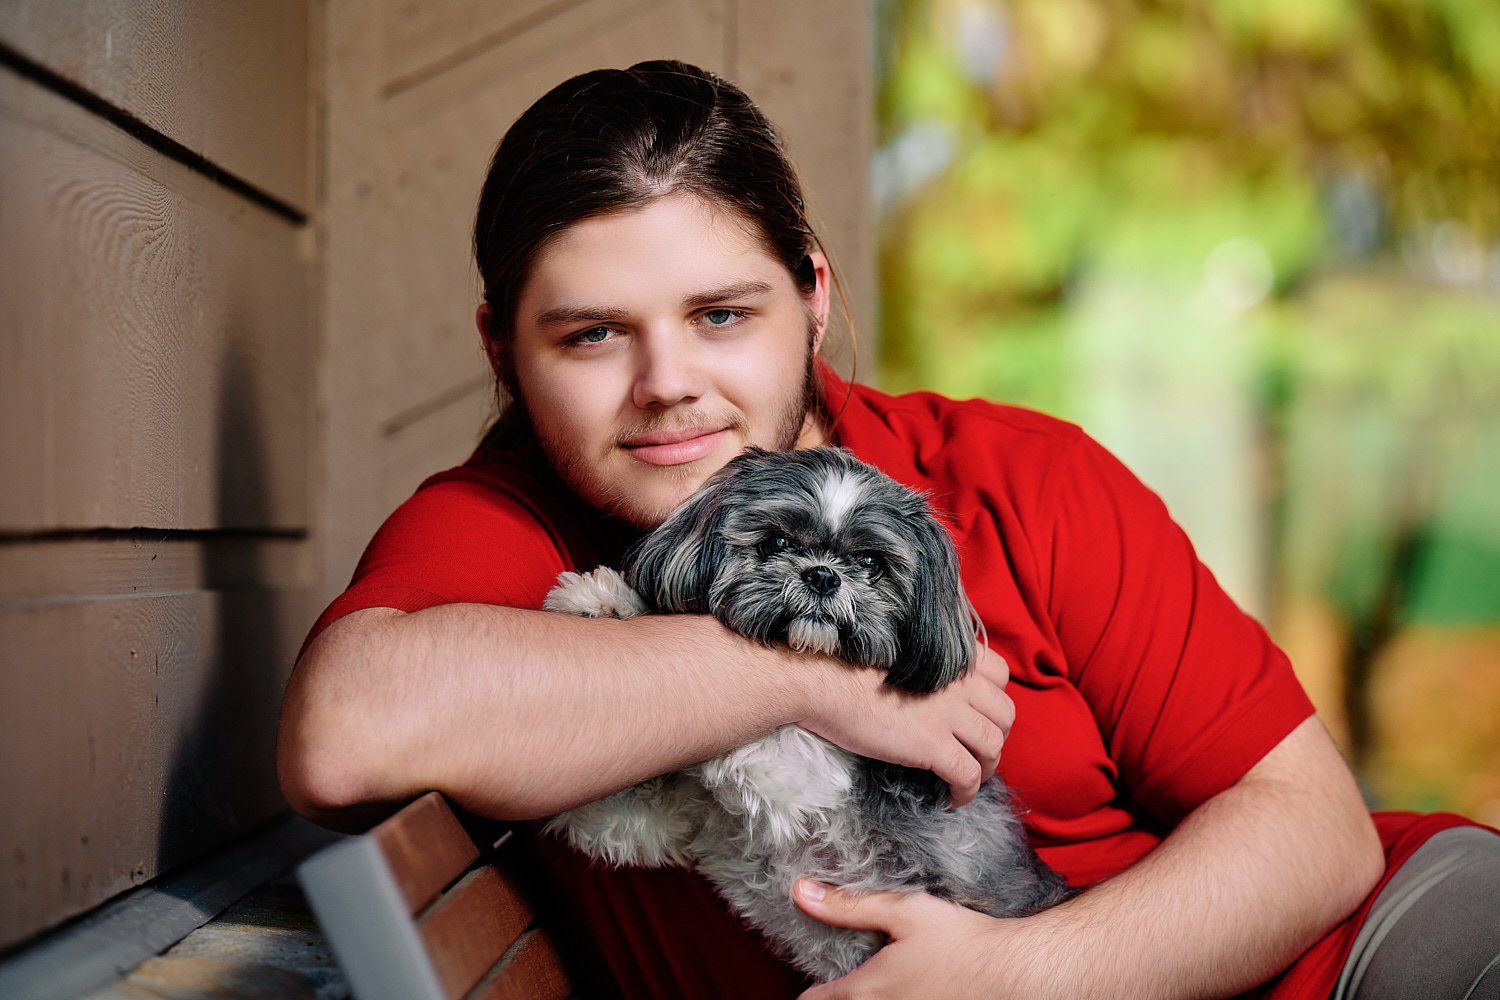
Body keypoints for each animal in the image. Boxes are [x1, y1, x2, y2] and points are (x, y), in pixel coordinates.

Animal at [546, 449, 1074, 983]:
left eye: (870, 562)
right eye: (776, 541)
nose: (822, 575)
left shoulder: (797, 784)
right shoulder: (668, 821)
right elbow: (598, 809)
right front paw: (607, 603)